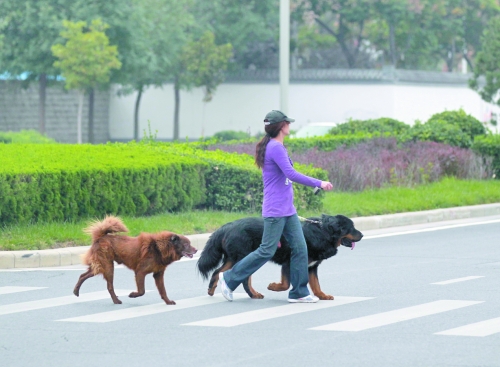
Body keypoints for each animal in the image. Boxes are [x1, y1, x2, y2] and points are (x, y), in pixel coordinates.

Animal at [196, 214, 364, 300]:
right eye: (351, 228)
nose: (362, 235)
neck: (323, 232)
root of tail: (227, 226)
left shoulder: (312, 267)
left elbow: (316, 284)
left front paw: (322, 296)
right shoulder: (289, 263)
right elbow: (286, 283)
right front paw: (274, 287)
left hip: (233, 258)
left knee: (218, 271)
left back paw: (212, 290)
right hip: (244, 257)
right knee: (242, 278)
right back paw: (252, 294)